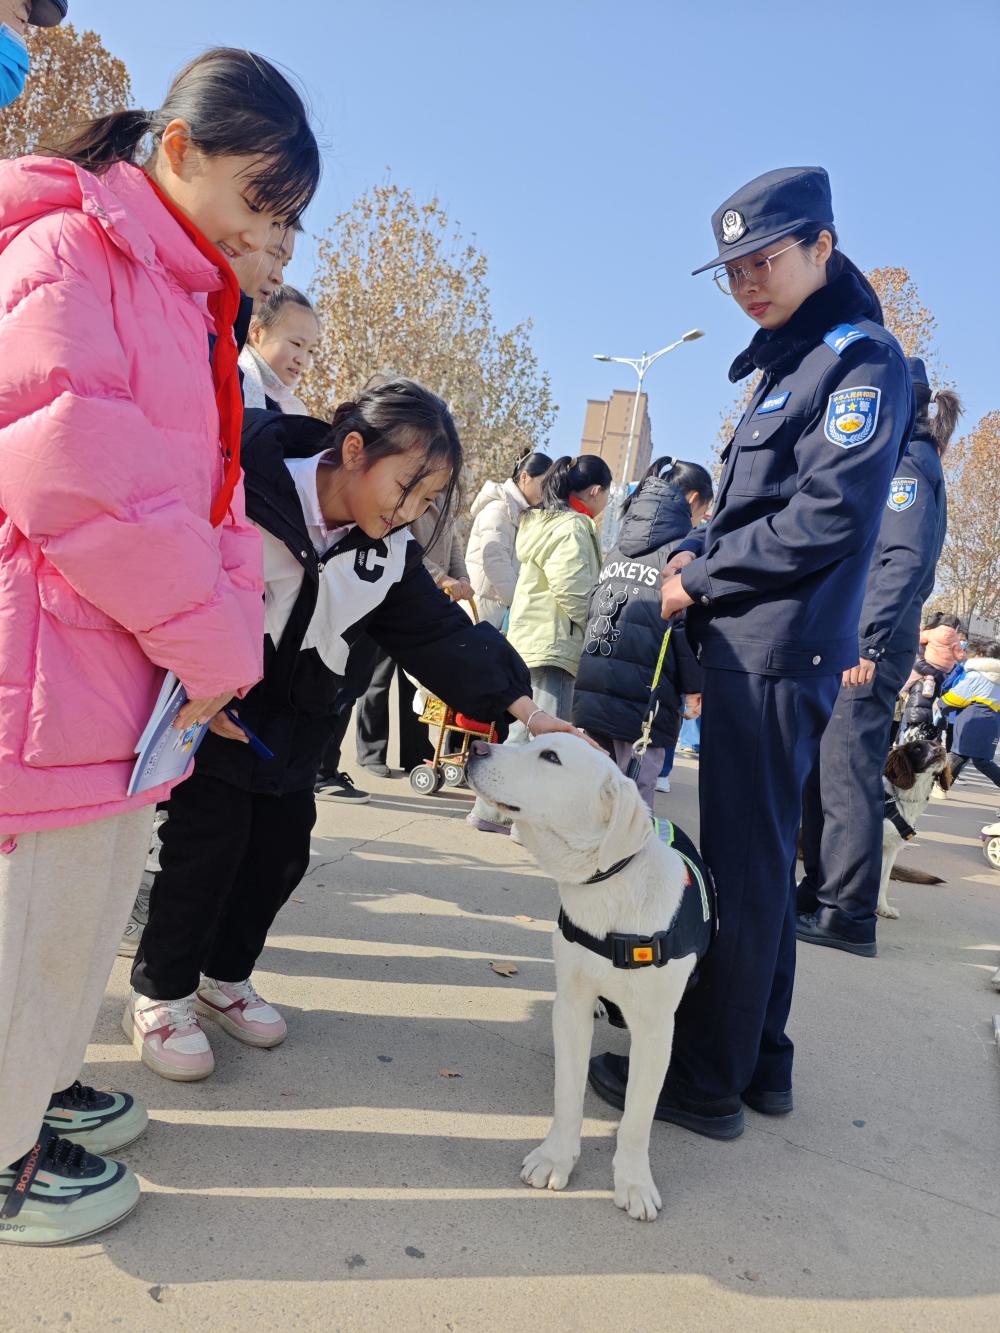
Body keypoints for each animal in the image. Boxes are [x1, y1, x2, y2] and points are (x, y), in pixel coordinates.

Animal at [466, 735, 714, 1221]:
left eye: (551, 758)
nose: (476, 749)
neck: (609, 891)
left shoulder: (656, 1030)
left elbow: (637, 1118)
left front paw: (634, 1182)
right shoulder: (570, 1007)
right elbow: (567, 1094)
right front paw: (556, 1158)